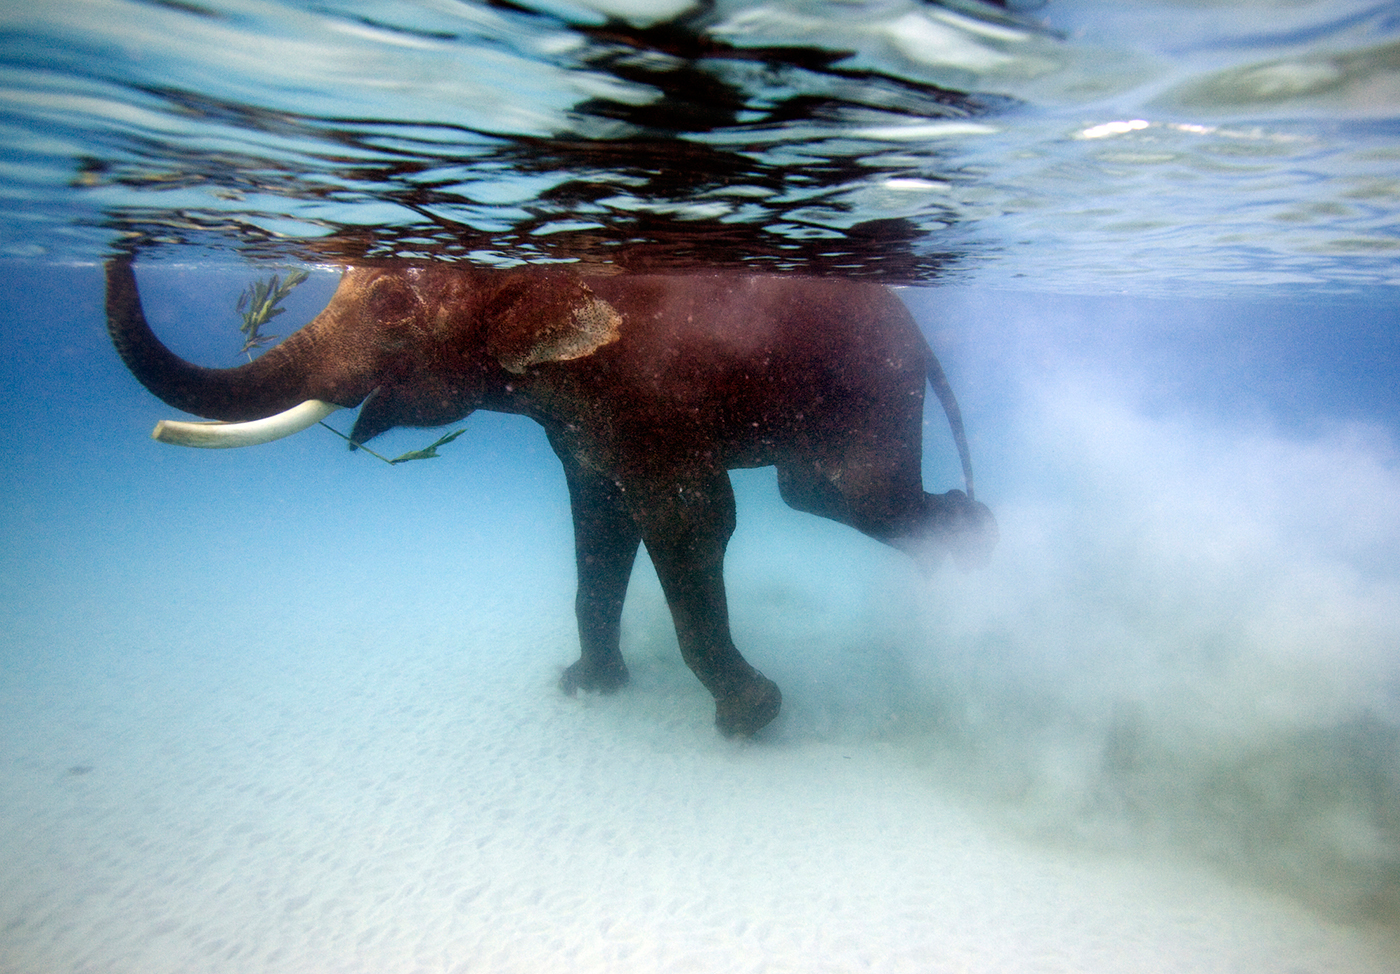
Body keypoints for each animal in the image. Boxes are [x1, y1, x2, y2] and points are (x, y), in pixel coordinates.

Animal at [105, 258, 996, 737]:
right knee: (818, 495)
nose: (128, 238)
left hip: (876, 380)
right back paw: (966, 556)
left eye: (392, 302)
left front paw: (750, 719)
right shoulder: (577, 417)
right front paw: (588, 689)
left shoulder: (645, 384)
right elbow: (598, 519)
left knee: (858, 495)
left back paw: (976, 549)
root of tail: (921, 332)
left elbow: (688, 518)